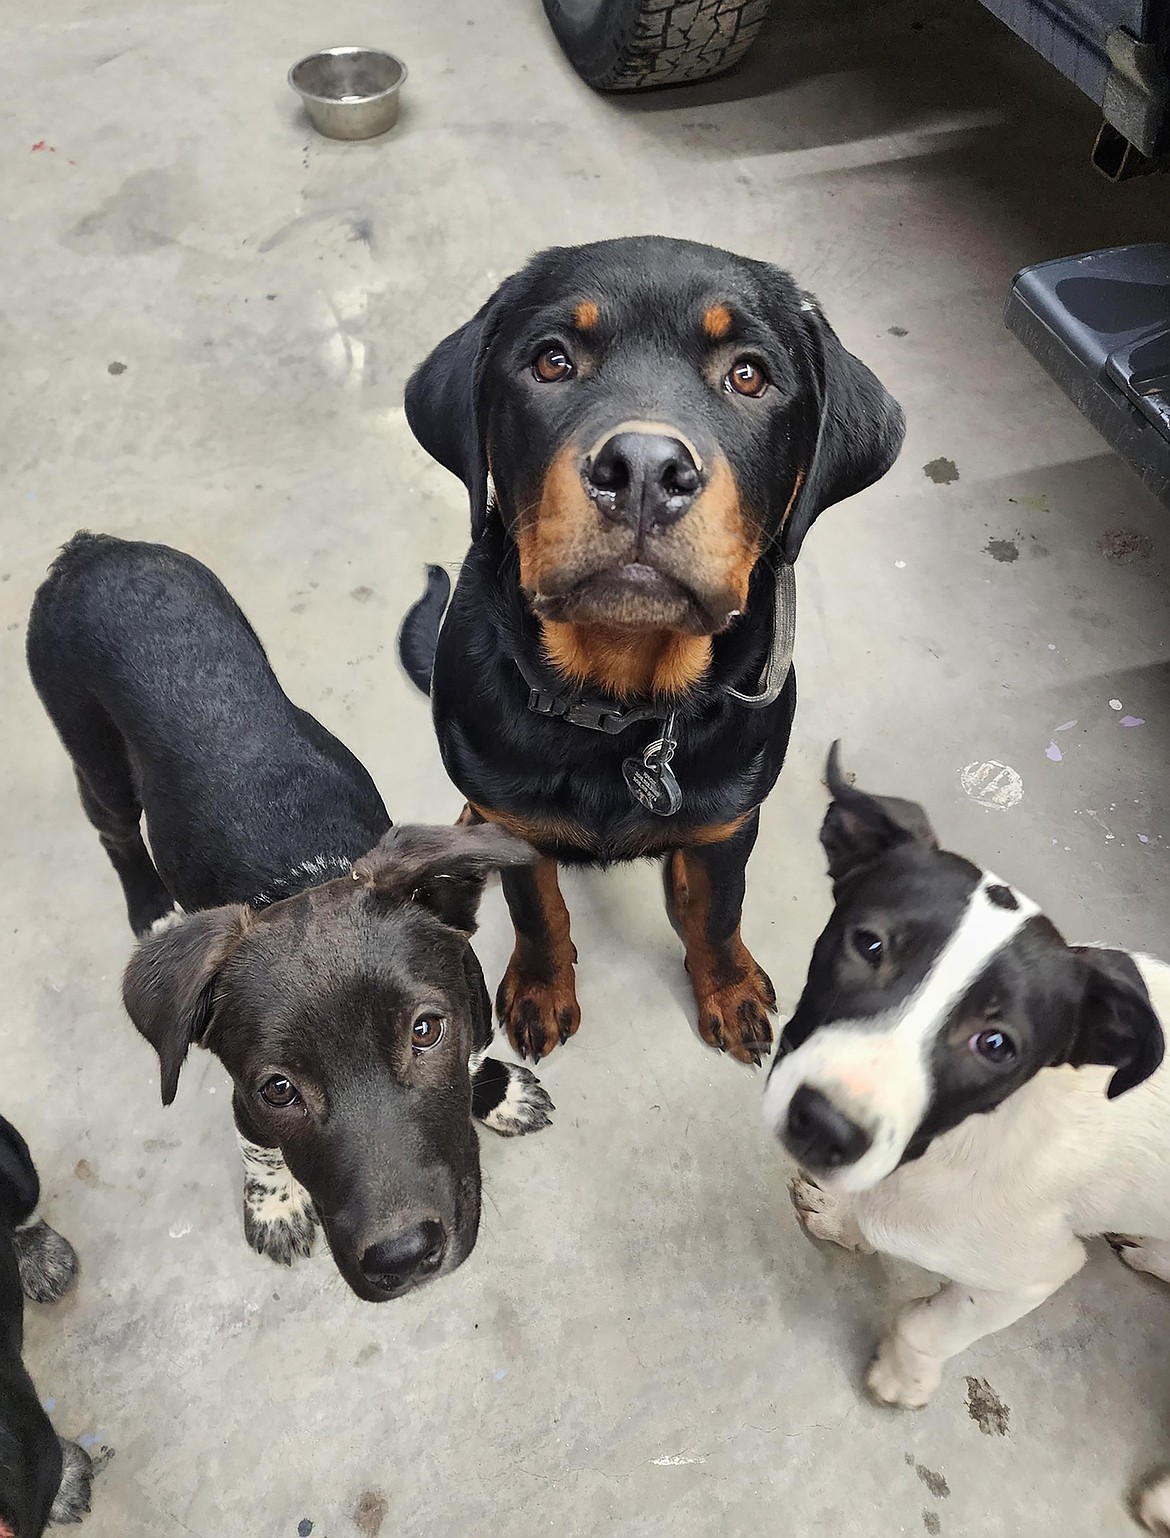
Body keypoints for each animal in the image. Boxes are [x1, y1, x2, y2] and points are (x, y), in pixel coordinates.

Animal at [27, 535, 553, 1304]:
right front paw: (274, 1205)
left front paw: (497, 1090)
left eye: (426, 1031)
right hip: (92, 752)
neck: (305, 875)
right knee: (115, 832)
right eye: (279, 1089)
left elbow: (475, 1045)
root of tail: (90, 547)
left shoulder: (466, 986)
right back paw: (153, 914)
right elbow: (256, 1143)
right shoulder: (246, 1100)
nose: (402, 1258)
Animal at [402, 236, 904, 1070]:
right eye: (551, 361)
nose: (641, 469)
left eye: (748, 374)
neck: (621, 704)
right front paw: (540, 990)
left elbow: (719, 915)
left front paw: (730, 992)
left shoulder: (731, 819)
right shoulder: (518, 829)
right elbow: (539, 912)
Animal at [762, 744, 1162, 1427]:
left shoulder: (1038, 1268)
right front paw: (843, 1219)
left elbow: (931, 1324)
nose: (823, 1127)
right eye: (869, 944)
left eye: (995, 1045)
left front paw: (902, 1377)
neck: (949, 1145)